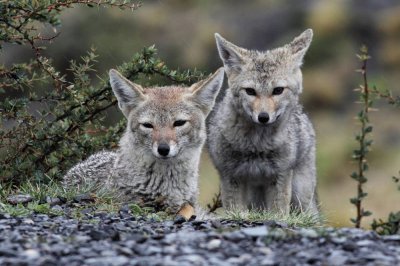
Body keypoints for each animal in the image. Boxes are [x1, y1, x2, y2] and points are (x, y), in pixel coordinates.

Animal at [209, 29, 318, 215]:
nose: (263, 117)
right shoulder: (230, 176)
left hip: (299, 195)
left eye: (278, 90)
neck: (257, 146)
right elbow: (236, 210)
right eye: (250, 91)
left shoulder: (280, 176)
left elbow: (279, 213)